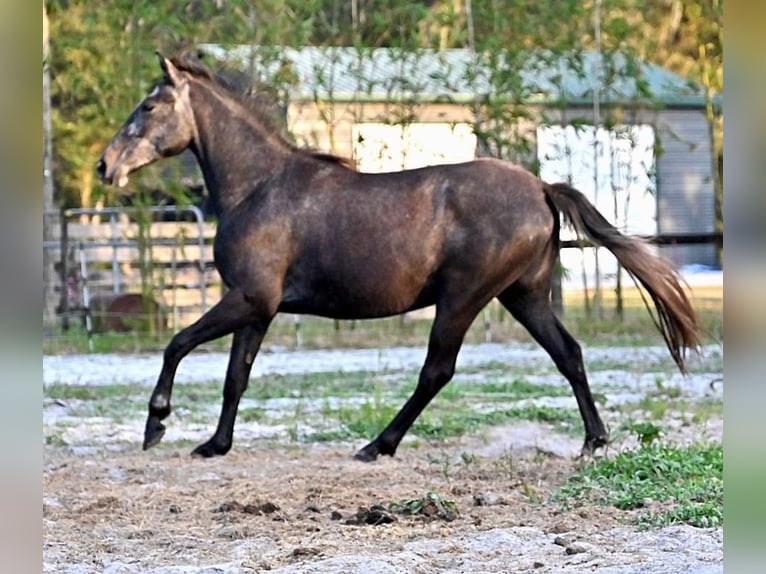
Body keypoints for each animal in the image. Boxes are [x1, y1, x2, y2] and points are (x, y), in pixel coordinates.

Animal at [97, 51, 701, 462]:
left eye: (149, 105)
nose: (106, 166)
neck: (258, 187)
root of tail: (540, 187)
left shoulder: (248, 298)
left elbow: (177, 343)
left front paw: (156, 426)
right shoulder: (259, 308)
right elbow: (234, 377)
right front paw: (214, 444)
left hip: (463, 298)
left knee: (438, 370)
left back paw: (377, 445)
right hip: (523, 295)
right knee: (568, 354)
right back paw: (593, 441)